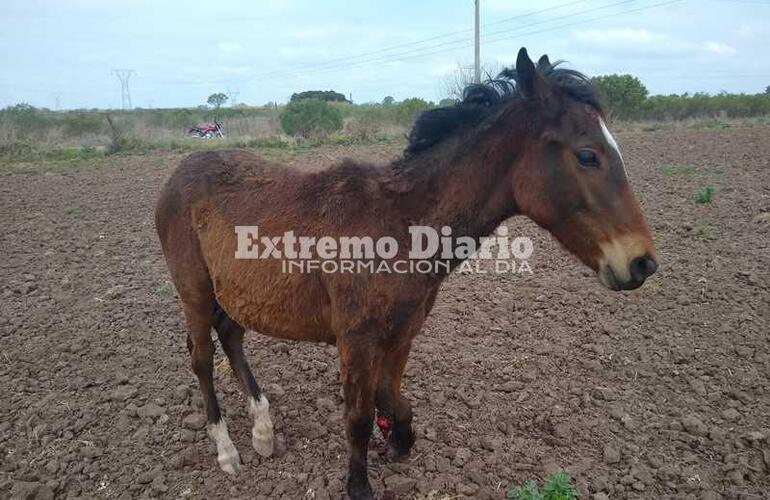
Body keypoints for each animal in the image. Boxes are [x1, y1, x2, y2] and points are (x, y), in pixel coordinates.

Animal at [154, 47, 656, 500]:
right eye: (588, 156)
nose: (641, 262)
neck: (400, 225)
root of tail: (180, 170)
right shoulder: (356, 341)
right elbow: (358, 418)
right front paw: (359, 485)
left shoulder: (401, 336)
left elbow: (392, 399)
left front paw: (398, 440)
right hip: (194, 291)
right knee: (202, 358)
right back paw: (227, 450)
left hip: (233, 292)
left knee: (231, 336)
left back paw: (262, 429)